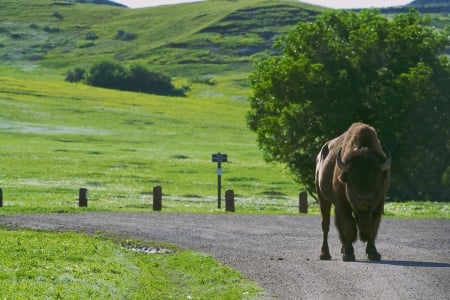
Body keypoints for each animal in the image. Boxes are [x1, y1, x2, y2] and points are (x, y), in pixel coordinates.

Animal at [316, 123, 390, 262]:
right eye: (351, 177)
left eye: (377, 177)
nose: (364, 200)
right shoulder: (342, 205)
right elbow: (348, 227)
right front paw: (348, 254)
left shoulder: (378, 205)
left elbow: (372, 228)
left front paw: (373, 253)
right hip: (323, 198)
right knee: (326, 225)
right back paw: (325, 254)